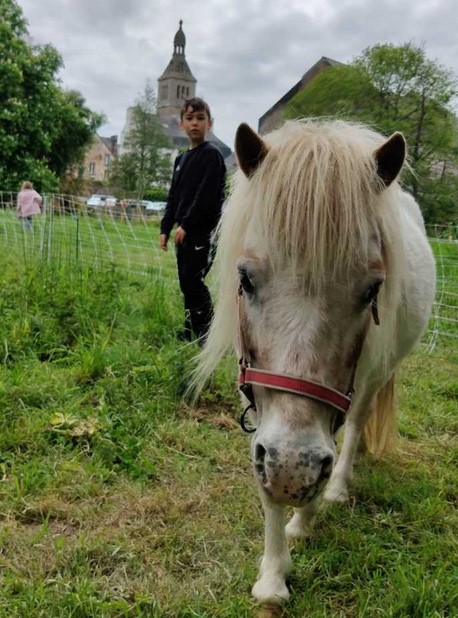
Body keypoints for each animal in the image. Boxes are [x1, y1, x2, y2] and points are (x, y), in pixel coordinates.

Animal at [195, 118, 434, 604]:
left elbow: (329, 450)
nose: (293, 469)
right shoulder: (258, 400)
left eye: (372, 289)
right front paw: (273, 573)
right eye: (245, 278)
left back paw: (340, 485)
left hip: (375, 377)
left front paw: (306, 519)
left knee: (357, 426)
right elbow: (265, 478)